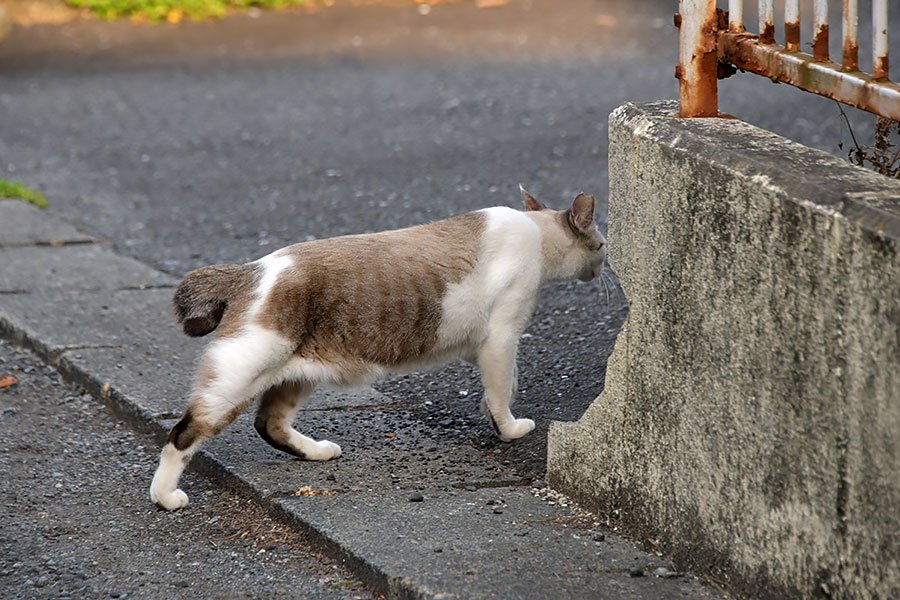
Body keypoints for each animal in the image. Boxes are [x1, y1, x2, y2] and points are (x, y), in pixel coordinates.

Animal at [151, 188, 608, 510]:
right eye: (602, 245)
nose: (606, 266)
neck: (535, 235)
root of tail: (248, 271)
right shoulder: (502, 338)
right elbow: (500, 395)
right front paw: (510, 429)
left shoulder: (487, 345)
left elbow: (506, 384)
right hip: (239, 378)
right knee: (183, 433)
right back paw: (166, 498)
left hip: (299, 372)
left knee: (270, 424)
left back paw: (318, 452)